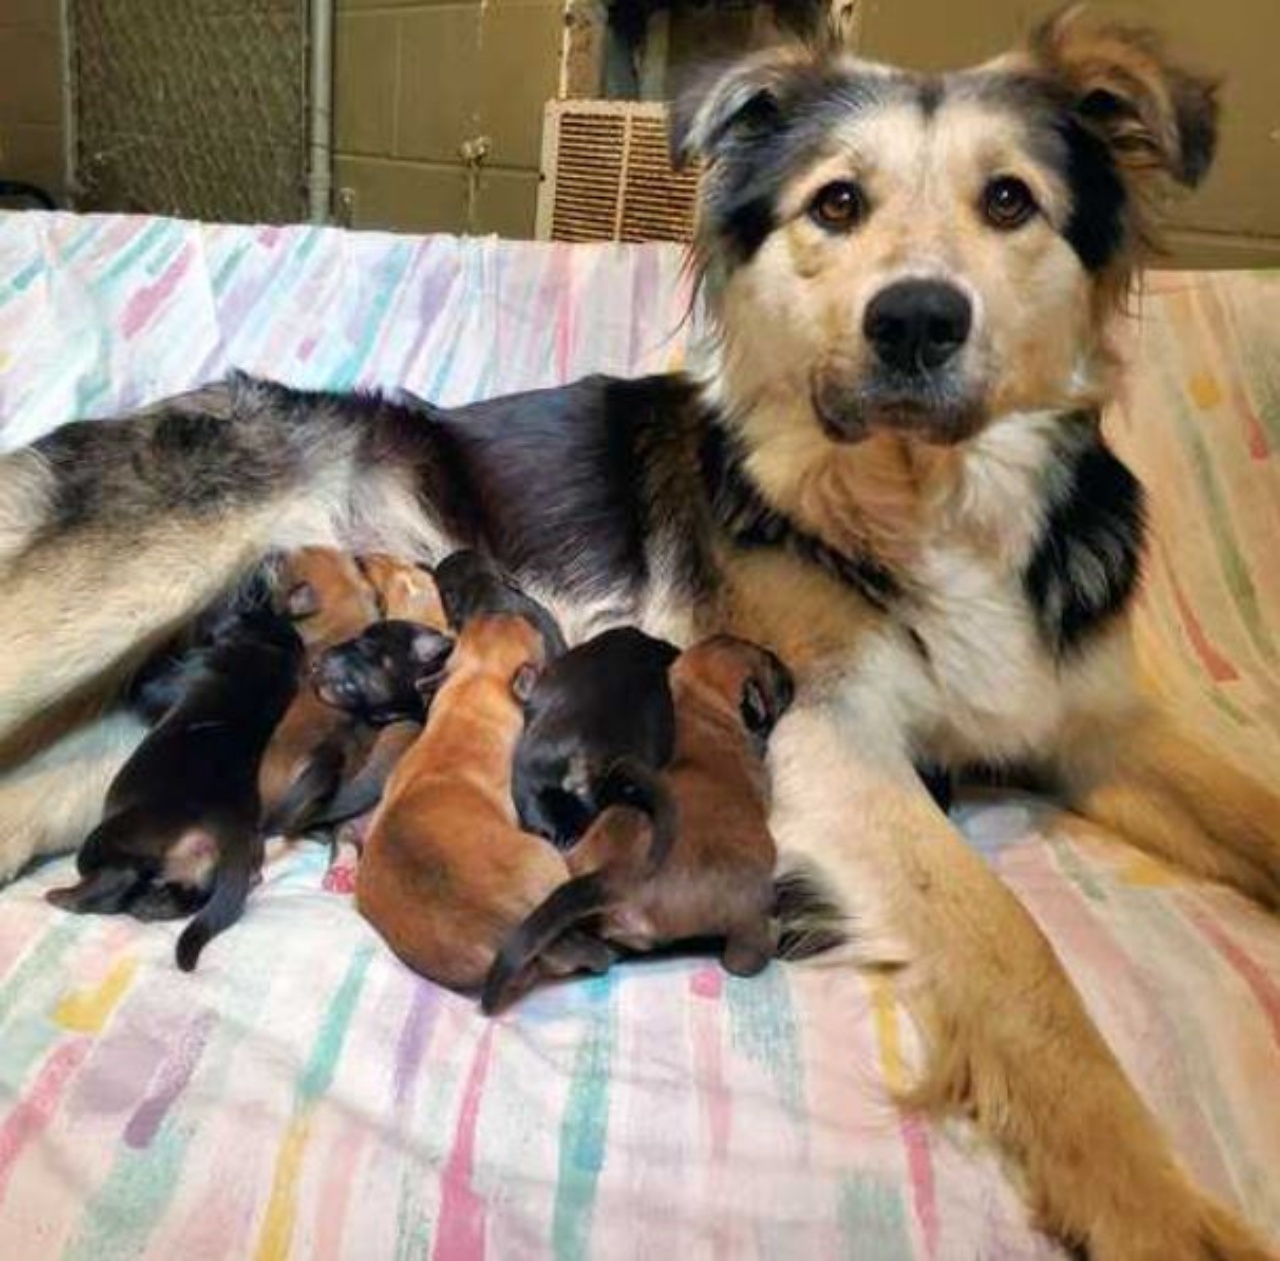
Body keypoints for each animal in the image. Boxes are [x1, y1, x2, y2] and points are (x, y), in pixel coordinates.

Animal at [45, 604, 302, 967]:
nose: (216, 606)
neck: (272, 653)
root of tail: (229, 827)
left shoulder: (169, 681)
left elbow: (145, 684)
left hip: (111, 837)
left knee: (117, 878)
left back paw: (67, 896)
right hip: (203, 874)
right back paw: (151, 906)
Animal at [483, 629, 793, 1013]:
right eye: (771, 666)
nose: (791, 675)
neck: (701, 706)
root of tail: (616, 878)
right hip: (750, 903)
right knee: (742, 958)